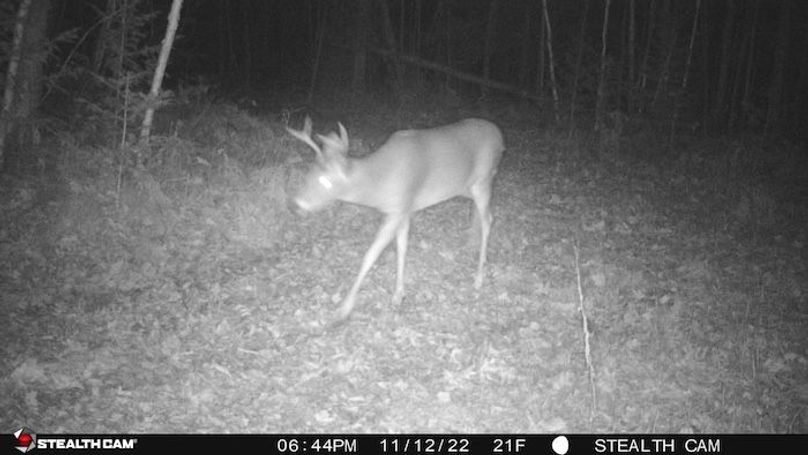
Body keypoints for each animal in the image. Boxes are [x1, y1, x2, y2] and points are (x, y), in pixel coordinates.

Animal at [286, 117, 504, 321]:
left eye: (325, 181)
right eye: (308, 174)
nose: (294, 205)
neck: (379, 181)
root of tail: (500, 136)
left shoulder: (396, 209)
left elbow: (370, 255)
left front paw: (344, 308)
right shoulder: (404, 209)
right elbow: (402, 248)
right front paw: (399, 295)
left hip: (483, 180)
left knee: (488, 219)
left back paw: (478, 278)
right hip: (468, 187)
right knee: (480, 216)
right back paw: (472, 245)